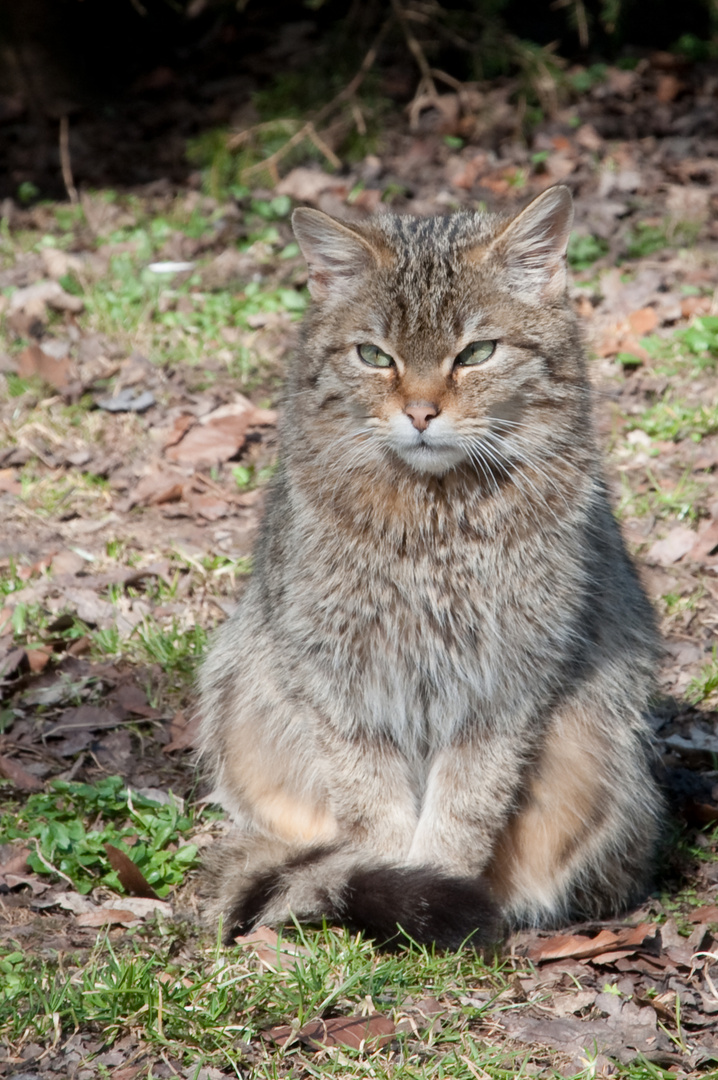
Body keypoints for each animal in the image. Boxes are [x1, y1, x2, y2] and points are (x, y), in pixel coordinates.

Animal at [196, 190, 660, 950]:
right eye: (372, 355)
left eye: (476, 353)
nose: (419, 412)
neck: (432, 522)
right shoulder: (341, 679)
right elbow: (374, 810)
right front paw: (402, 890)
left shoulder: (504, 685)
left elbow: (464, 809)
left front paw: (437, 888)